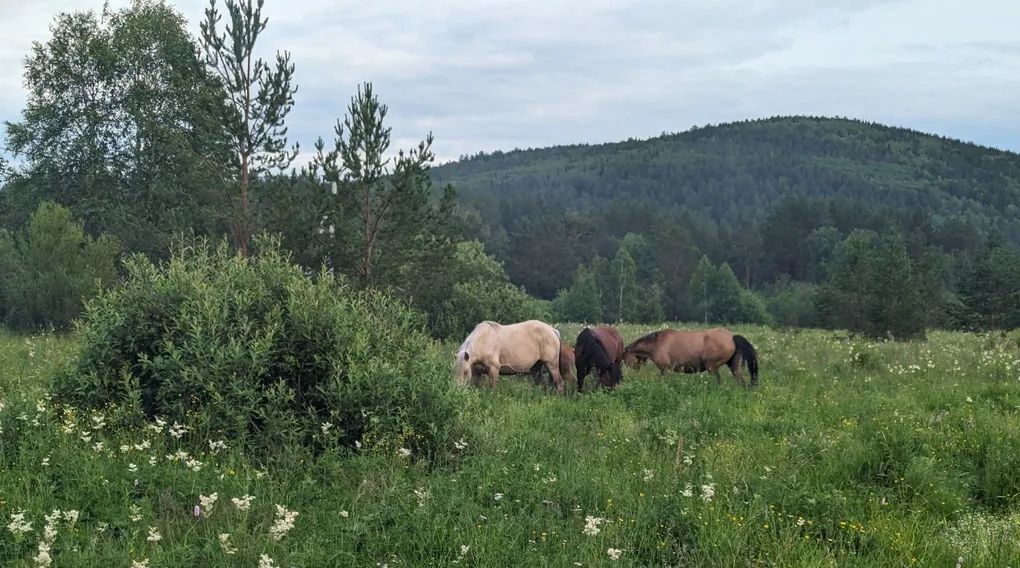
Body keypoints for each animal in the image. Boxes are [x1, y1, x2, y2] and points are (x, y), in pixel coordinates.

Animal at [620, 328, 758, 385]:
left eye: (625, 359)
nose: (633, 375)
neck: (657, 343)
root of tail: (732, 337)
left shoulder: (667, 370)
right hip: (733, 366)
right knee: (741, 382)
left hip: (712, 367)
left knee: (718, 381)